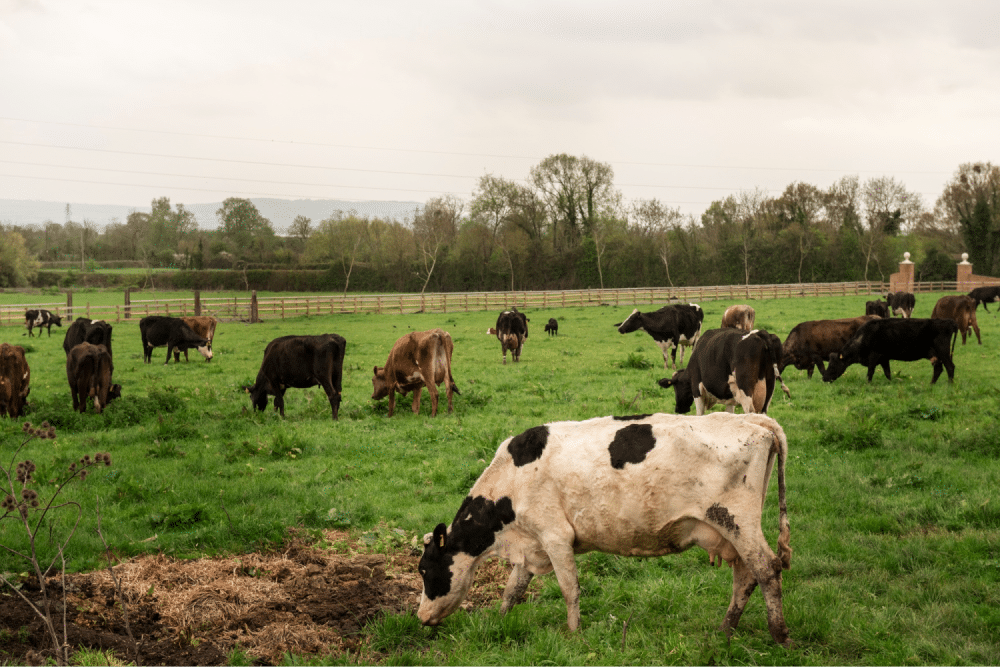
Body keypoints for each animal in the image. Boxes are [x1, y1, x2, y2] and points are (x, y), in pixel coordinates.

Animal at [414, 412, 788, 648]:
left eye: (425, 570)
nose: (420, 616)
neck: (510, 481)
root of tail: (752, 418)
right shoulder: (532, 545)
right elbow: (512, 590)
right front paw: (499, 622)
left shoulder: (555, 536)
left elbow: (570, 589)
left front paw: (574, 634)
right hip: (731, 532)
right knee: (746, 576)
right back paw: (725, 630)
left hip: (737, 521)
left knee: (767, 569)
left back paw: (780, 635)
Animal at [820, 320, 960, 386]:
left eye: (832, 365)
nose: (824, 378)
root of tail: (949, 322)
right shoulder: (884, 358)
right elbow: (887, 373)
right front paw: (891, 383)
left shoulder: (874, 356)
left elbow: (870, 372)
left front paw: (868, 384)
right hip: (935, 355)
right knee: (938, 369)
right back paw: (931, 385)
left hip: (943, 351)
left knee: (950, 367)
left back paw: (950, 385)